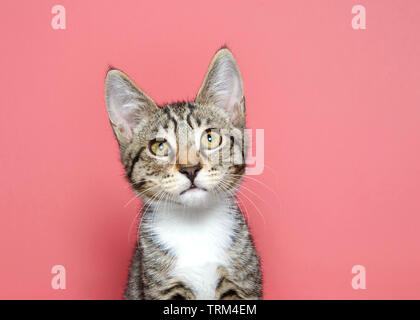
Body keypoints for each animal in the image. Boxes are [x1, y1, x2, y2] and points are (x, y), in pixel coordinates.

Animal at [104, 47, 260, 300]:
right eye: (159, 147)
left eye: (210, 138)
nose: (190, 168)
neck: (195, 228)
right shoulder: (161, 287)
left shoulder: (243, 282)